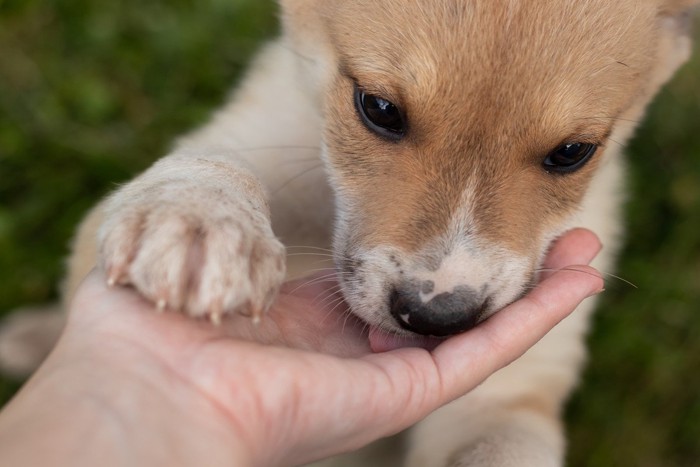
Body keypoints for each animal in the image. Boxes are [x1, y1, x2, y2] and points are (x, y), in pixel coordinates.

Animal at [6, 0, 700, 467]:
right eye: (380, 108)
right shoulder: (254, 131)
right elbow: (213, 164)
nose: (434, 315)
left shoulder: (508, 395)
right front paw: (200, 218)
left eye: (573, 152)